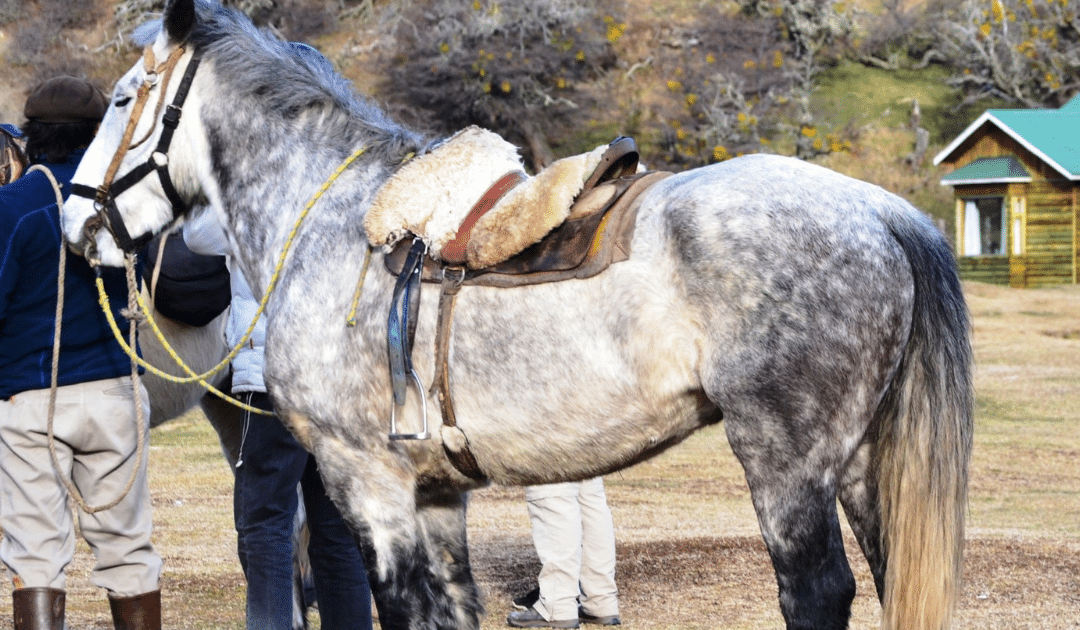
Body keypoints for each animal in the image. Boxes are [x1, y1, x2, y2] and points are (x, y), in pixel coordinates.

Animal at [59, 1, 976, 630]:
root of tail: (881, 208)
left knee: (816, 593)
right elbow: (451, 610)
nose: (76, 223)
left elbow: (399, 607)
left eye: (122, 99)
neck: (334, 223)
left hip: (787, 465)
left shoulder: (368, 484)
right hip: (860, 463)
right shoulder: (435, 496)